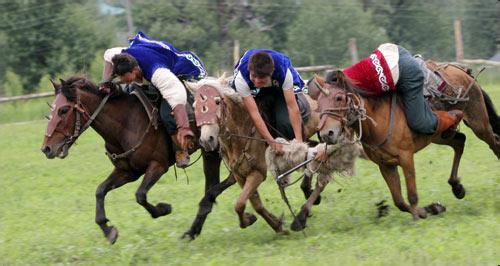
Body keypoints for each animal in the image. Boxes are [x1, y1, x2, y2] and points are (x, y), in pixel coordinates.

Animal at [39, 76, 219, 244]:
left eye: (63, 110)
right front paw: (107, 230)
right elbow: (100, 190)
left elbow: (140, 195)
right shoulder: (127, 172)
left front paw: (163, 209)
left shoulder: (158, 166)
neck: (126, 124)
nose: (46, 148)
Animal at [181, 77, 320, 239]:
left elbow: (240, 203)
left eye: (217, 101)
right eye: (195, 106)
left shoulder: (257, 173)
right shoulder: (240, 175)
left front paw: (254, 220)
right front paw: (276, 225)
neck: (243, 131)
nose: (206, 140)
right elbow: (255, 205)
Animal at [316, 66, 500, 220]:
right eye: (318, 103)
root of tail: (463, 72)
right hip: (439, 135)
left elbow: (411, 195)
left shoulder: (406, 158)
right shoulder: (386, 165)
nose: (327, 134)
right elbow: (399, 201)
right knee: (460, 141)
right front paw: (431, 209)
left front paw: (420, 216)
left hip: (479, 125)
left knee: (494, 143)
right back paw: (456, 186)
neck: (378, 120)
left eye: (339, 98)